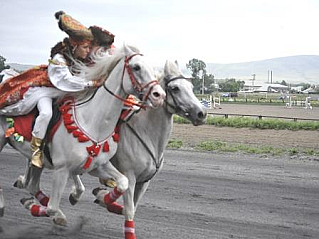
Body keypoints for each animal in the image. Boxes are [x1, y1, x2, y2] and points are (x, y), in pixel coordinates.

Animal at [0, 44, 166, 225]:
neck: (93, 123)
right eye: (136, 67)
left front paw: (103, 198)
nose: (159, 95)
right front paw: (43, 208)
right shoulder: (62, 170)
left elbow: (123, 182)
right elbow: (51, 208)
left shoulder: (98, 165)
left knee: (33, 185)